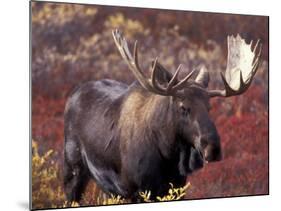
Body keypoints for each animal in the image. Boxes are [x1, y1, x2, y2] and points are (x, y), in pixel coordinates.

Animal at [63, 28, 260, 202]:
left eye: (209, 107)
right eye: (183, 107)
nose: (213, 148)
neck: (169, 155)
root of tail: (73, 94)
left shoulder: (176, 187)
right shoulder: (135, 189)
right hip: (73, 169)